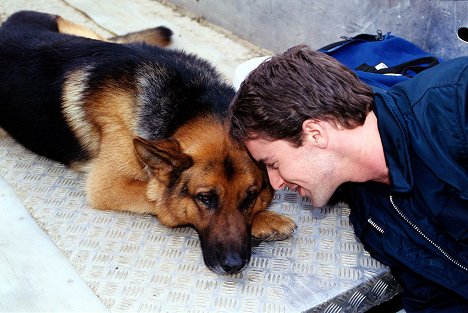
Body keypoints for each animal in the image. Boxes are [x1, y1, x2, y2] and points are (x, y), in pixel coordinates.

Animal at [0, 10, 296, 272]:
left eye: (251, 196)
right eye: (205, 199)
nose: (233, 266)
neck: (189, 104)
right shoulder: (108, 186)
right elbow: (163, 200)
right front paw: (267, 219)